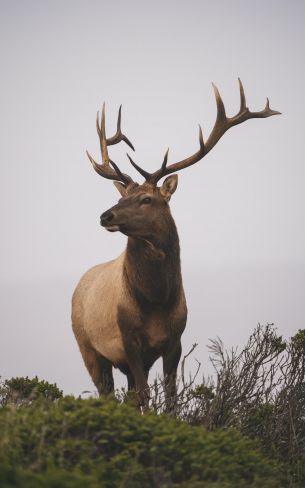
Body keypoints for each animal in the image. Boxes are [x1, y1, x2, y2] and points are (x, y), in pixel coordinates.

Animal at [70, 79, 278, 408]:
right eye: (122, 197)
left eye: (146, 199)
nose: (105, 215)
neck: (156, 300)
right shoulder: (128, 338)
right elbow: (144, 396)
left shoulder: (175, 340)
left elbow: (170, 397)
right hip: (87, 347)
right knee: (107, 392)